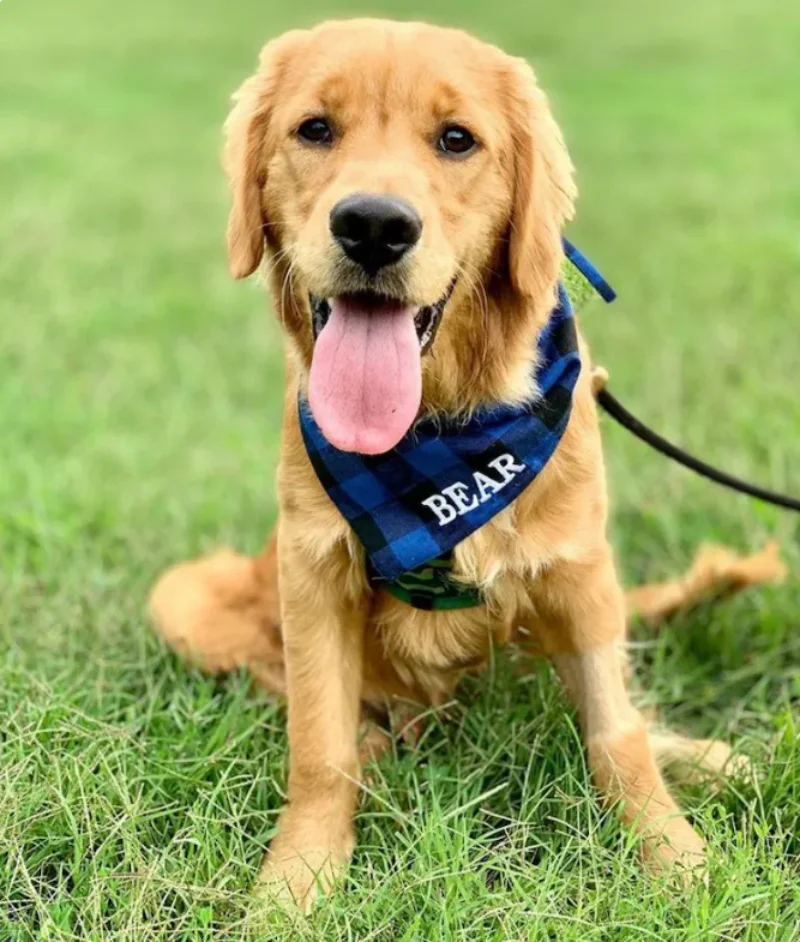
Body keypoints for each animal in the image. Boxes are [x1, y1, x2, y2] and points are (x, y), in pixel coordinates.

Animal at [152, 18, 752, 912]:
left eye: (457, 139)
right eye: (315, 129)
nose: (373, 225)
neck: (437, 437)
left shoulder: (582, 571)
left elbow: (618, 732)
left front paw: (674, 858)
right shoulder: (311, 572)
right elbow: (317, 746)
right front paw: (297, 881)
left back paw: (703, 758)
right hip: (184, 596)